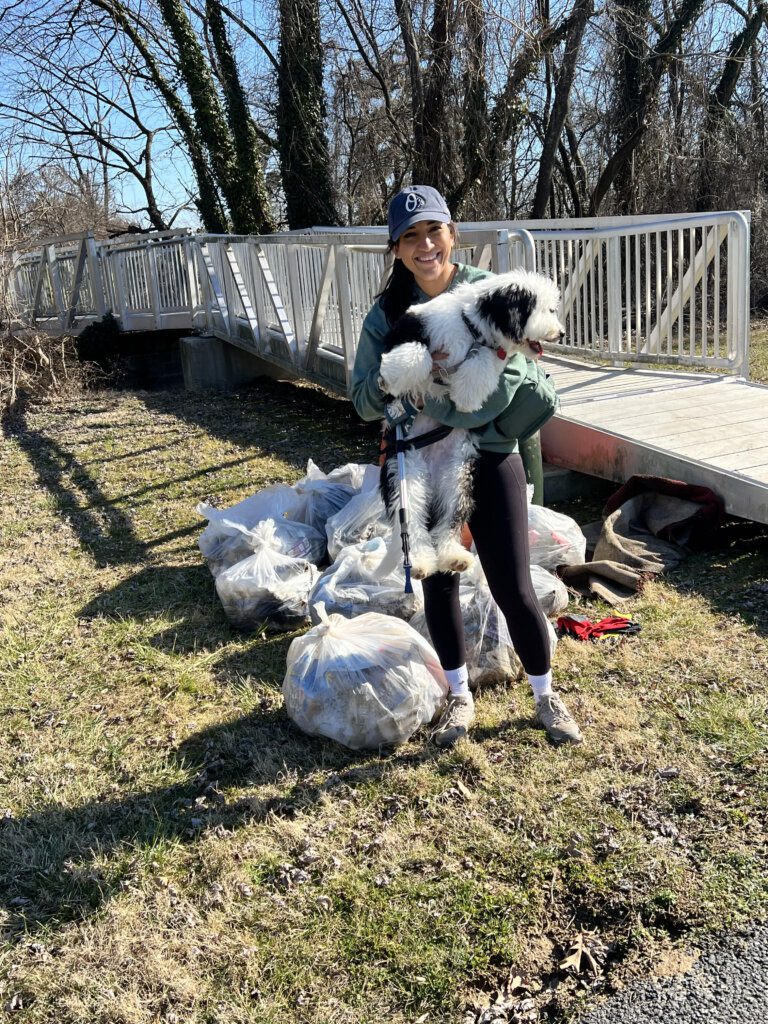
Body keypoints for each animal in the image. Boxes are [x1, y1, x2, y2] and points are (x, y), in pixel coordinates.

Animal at [378, 268, 565, 581]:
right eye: (545, 309)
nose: (561, 333)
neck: (472, 331)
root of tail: (430, 470)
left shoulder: (490, 355)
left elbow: (481, 368)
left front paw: (466, 396)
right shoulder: (411, 329)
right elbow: (417, 351)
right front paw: (392, 381)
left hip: (458, 477)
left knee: (449, 520)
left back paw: (453, 558)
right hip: (403, 473)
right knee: (411, 522)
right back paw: (419, 562)